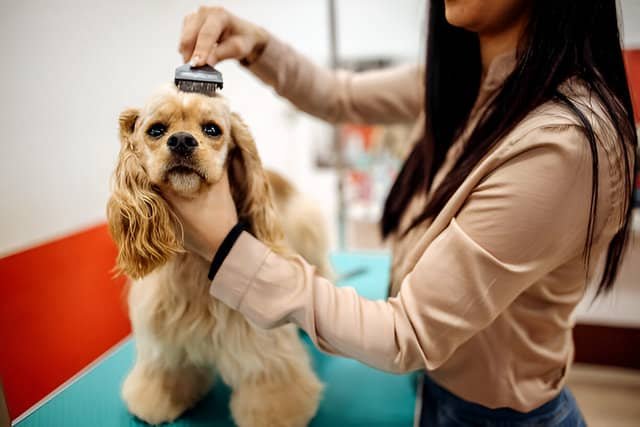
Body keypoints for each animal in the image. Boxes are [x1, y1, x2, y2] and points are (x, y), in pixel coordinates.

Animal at [107, 86, 324, 427]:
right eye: (156, 130)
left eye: (212, 129)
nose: (182, 140)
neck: (195, 262)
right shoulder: (165, 337)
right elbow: (164, 372)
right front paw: (157, 399)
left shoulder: (261, 345)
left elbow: (272, 381)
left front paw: (277, 414)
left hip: (308, 230)